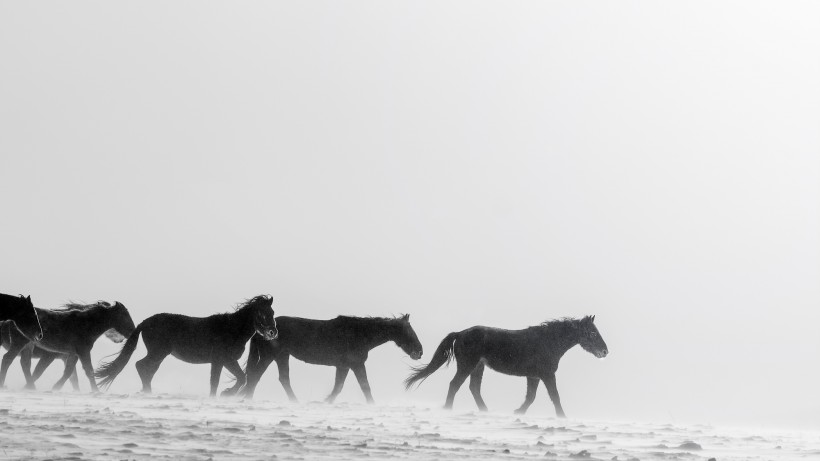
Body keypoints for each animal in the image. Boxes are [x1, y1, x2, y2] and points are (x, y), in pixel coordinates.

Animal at [0, 302, 135, 392]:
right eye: (124, 315)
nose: (132, 331)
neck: (87, 323)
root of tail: (10, 320)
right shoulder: (83, 351)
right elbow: (88, 370)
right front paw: (96, 390)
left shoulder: (73, 353)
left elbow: (69, 372)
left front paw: (56, 387)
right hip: (19, 343)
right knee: (7, 359)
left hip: (28, 345)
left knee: (25, 363)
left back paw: (31, 387)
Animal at [96, 294, 278, 396]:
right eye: (261, 313)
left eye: (272, 312)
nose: (273, 332)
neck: (231, 328)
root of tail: (146, 322)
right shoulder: (221, 360)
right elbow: (218, 381)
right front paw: (223, 394)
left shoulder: (226, 361)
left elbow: (240, 377)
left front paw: (226, 394)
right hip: (158, 353)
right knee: (141, 366)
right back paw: (148, 392)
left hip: (159, 355)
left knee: (147, 370)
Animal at [227, 312, 426, 402]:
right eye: (408, 331)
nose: (419, 351)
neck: (359, 334)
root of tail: (260, 332)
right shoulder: (356, 365)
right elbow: (365, 387)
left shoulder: (344, 366)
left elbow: (338, 388)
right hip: (270, 356)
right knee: (256, 376)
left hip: (282, 357)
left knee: (282, 378)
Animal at [406, 316, 608, 416]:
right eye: (592, 332)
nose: (605, 351)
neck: (548, 342)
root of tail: (460, 333)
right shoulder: (547, 375)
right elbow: (554, 396)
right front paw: (562, 417)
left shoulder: (534, 376)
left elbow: (531, 397)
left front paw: (518, 412)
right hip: (467, 365)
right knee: (455, 385)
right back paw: (448, 409)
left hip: (478, 367)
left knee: (474, 388)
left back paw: (485, 410)